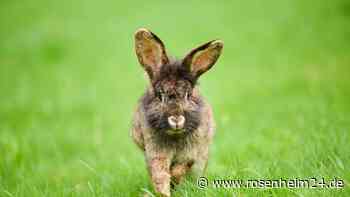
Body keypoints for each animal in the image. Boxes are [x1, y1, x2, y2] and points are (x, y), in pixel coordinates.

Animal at [130, 28, 223, 197]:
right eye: (160, 95)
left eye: (188, 95)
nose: (176, 119)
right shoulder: (155, 152)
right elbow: (160, 174)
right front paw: (164, 193)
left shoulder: (192, 151)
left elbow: (181, 169)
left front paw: (174, 180)